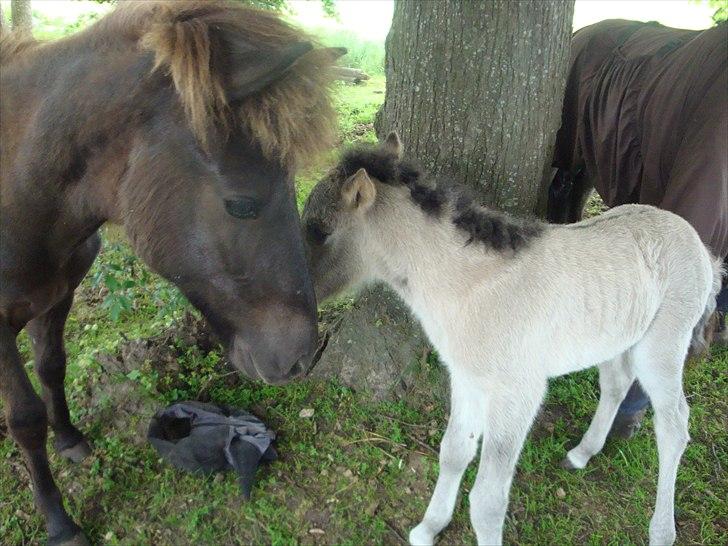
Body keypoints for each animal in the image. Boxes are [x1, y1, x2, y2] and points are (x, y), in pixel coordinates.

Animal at [0, 2, 342, 540]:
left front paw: (70, 437)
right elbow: (25, 417)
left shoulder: (58, 293)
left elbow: (52, 366)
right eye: (241, 204)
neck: (19, 191)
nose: (300, 358)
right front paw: (59, 521)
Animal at [302, 133, 724, 544]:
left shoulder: (518, 392)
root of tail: (702, 248)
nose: (303, 301)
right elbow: (453, 452)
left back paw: (661, 532)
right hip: (617, 337)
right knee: (617, 385)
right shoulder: (466, 378)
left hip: (662, 347)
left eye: (320, 231)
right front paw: (428, 528)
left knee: (674, 424)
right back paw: (582, 454)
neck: (467, 288)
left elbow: (487, 501)